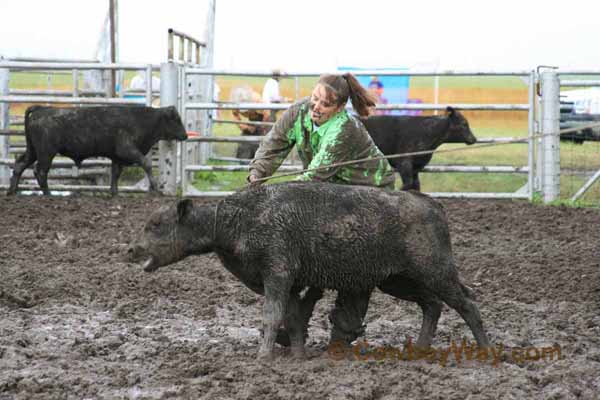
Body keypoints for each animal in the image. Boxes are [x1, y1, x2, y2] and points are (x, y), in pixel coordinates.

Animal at [5, 104, 186, 195]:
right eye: (176, 119)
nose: (185, 135)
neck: (141, 119)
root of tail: (42, 109)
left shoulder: (117, 157)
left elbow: (115, 174)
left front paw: (115, 193)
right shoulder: (127, 150)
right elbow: (146, 163)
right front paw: (156, 188)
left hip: (33, 151)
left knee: (20, 165)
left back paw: (12, 191)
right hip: (45, 153)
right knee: (40, 171)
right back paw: (48, 194)